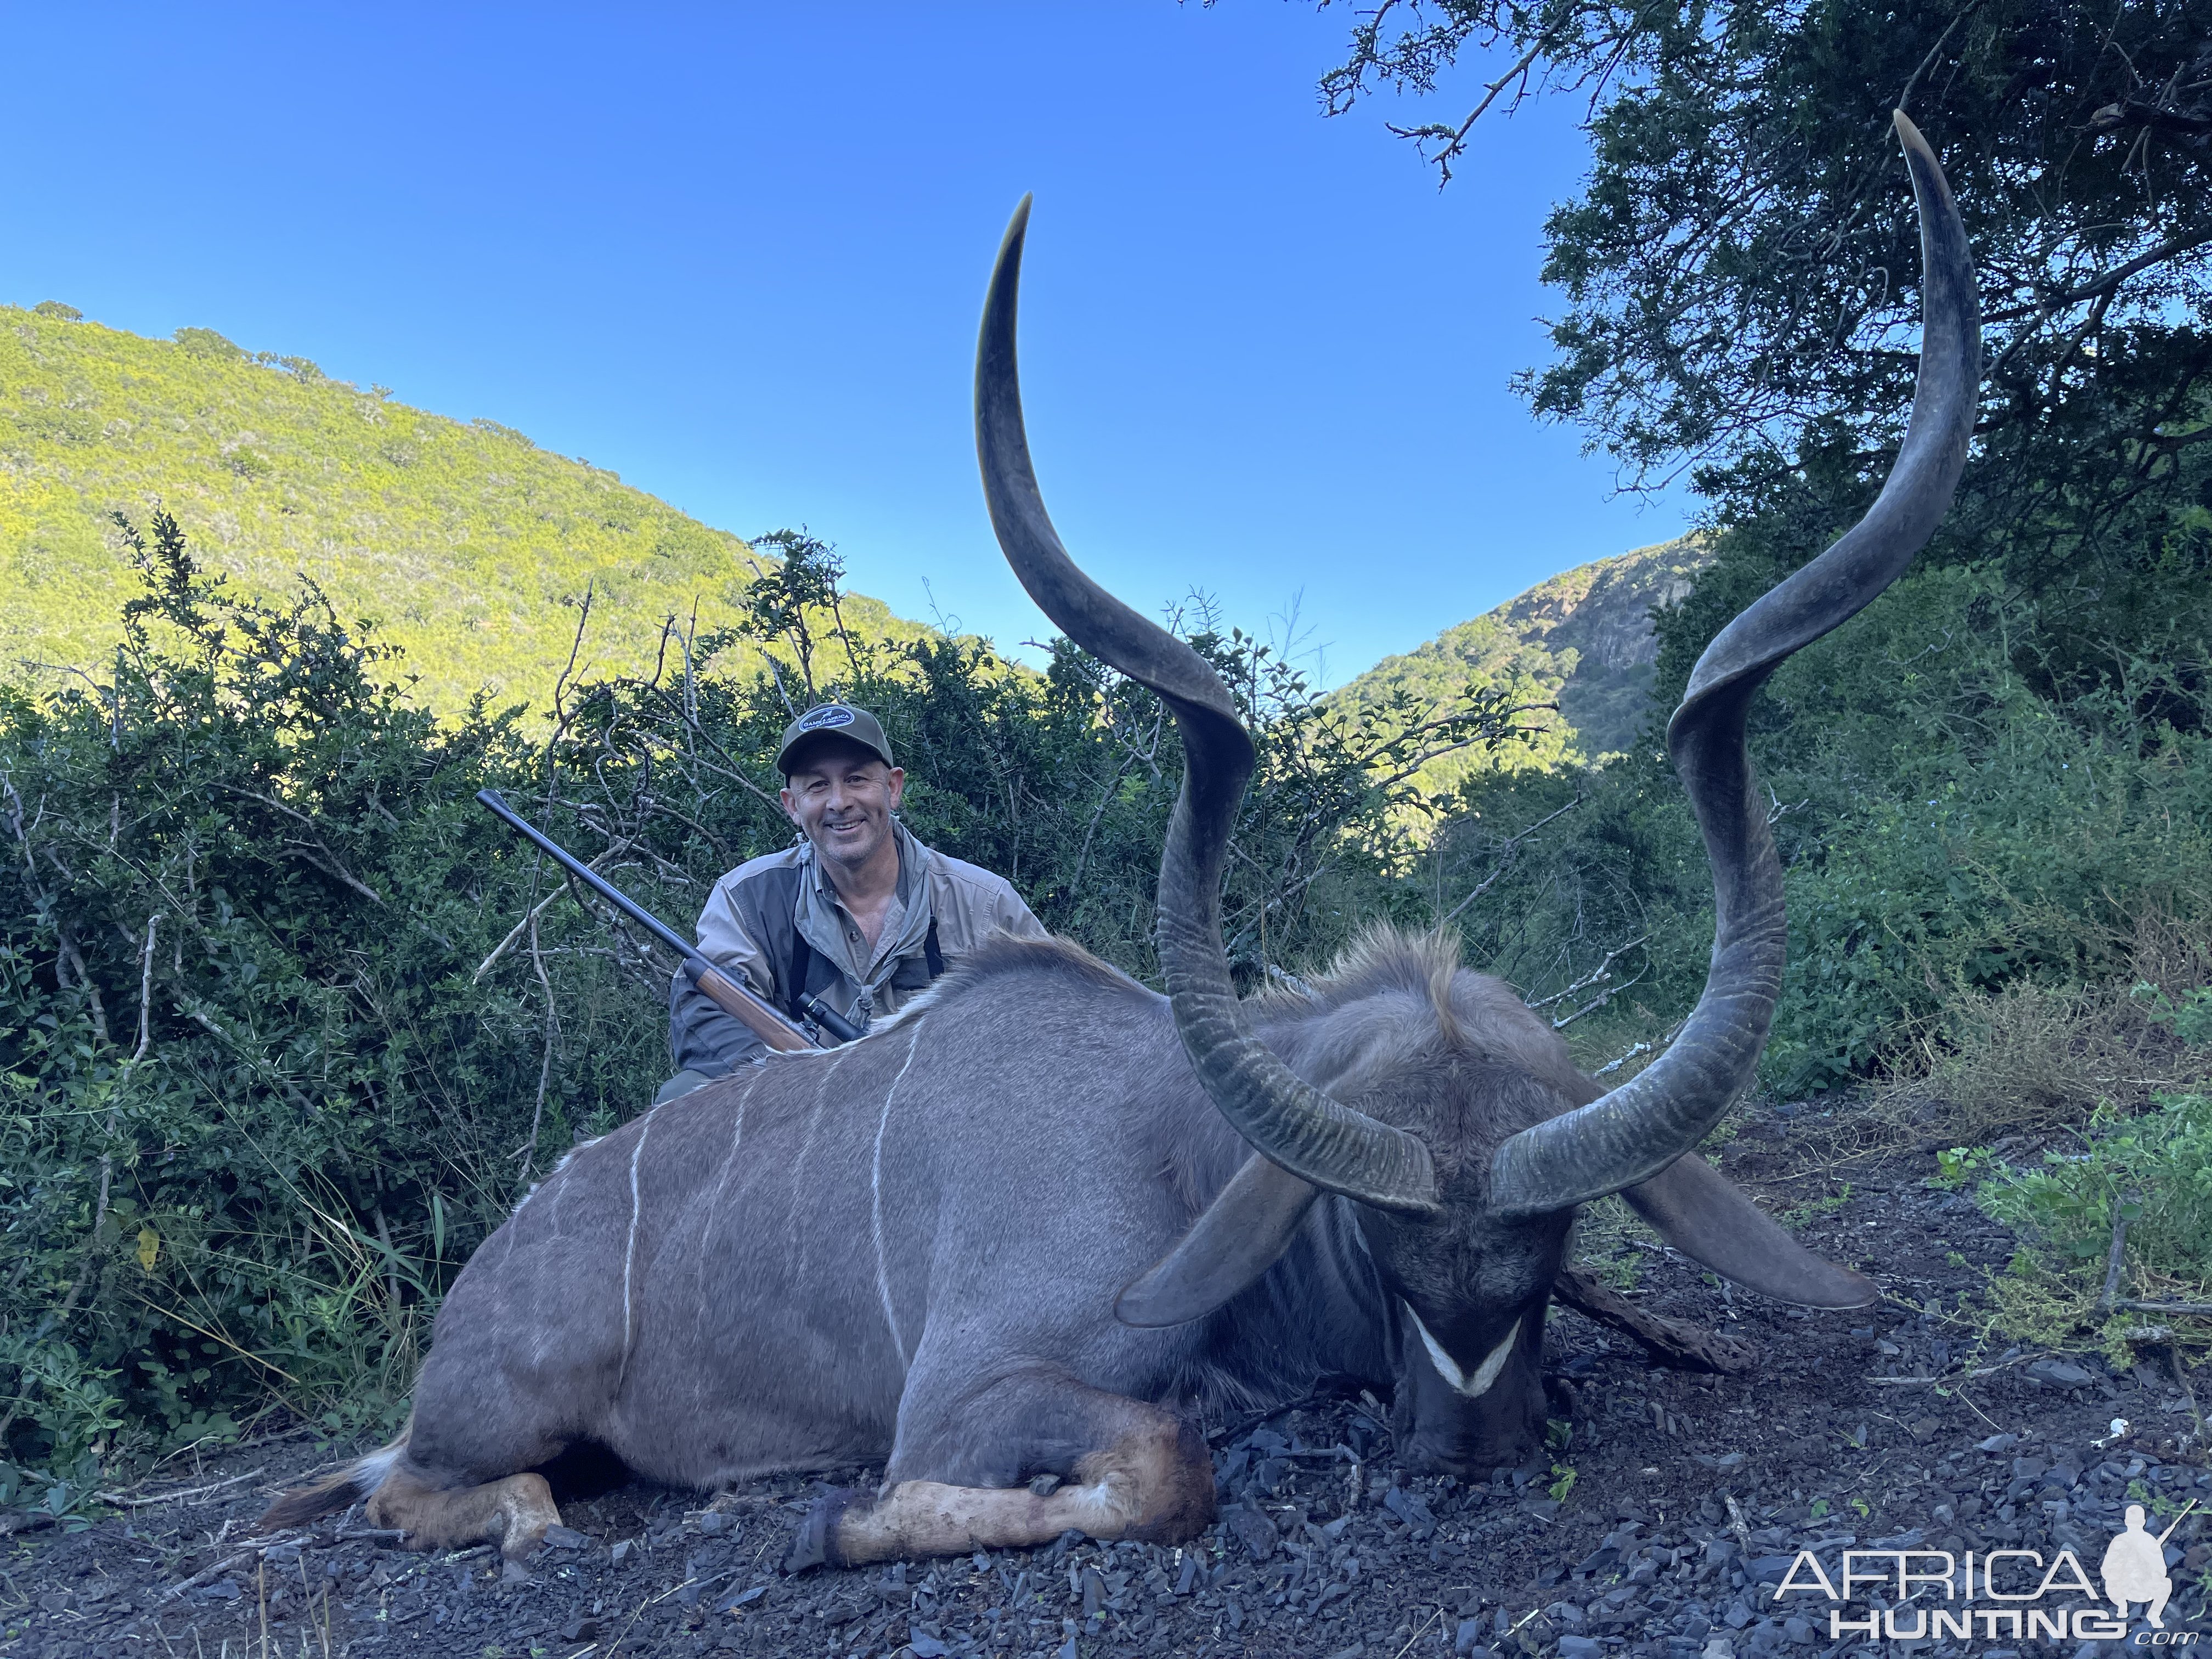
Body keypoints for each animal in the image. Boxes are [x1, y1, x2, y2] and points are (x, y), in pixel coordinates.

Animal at [267, 117, 1982, 1575]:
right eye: (1377, 1241)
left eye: (1554, 1248)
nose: (1465, 1450)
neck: (1182, 1149)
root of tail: (485, 1278)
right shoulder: (967, 1393)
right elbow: (1163, 1462)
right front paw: (838, 1525)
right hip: (508, 1414)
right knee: (445, 1491)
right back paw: (529, 1513)